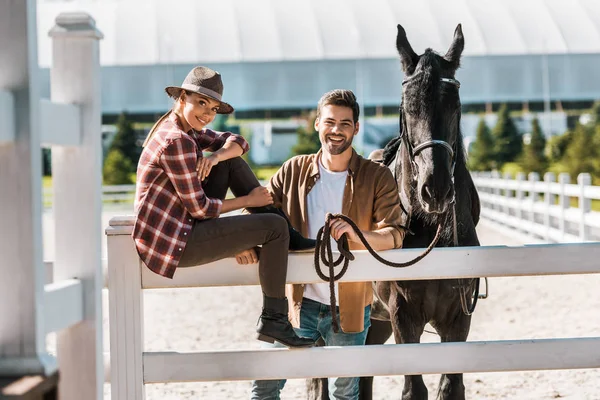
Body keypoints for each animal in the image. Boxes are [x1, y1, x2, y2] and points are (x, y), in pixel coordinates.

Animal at [308, 22, 480, 400]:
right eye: (407, 106)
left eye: (455, 103)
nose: (435, 189)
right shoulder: (404, 318)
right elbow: (414, 389)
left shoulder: (458, 320)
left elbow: (451, 386)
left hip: (375, 324)